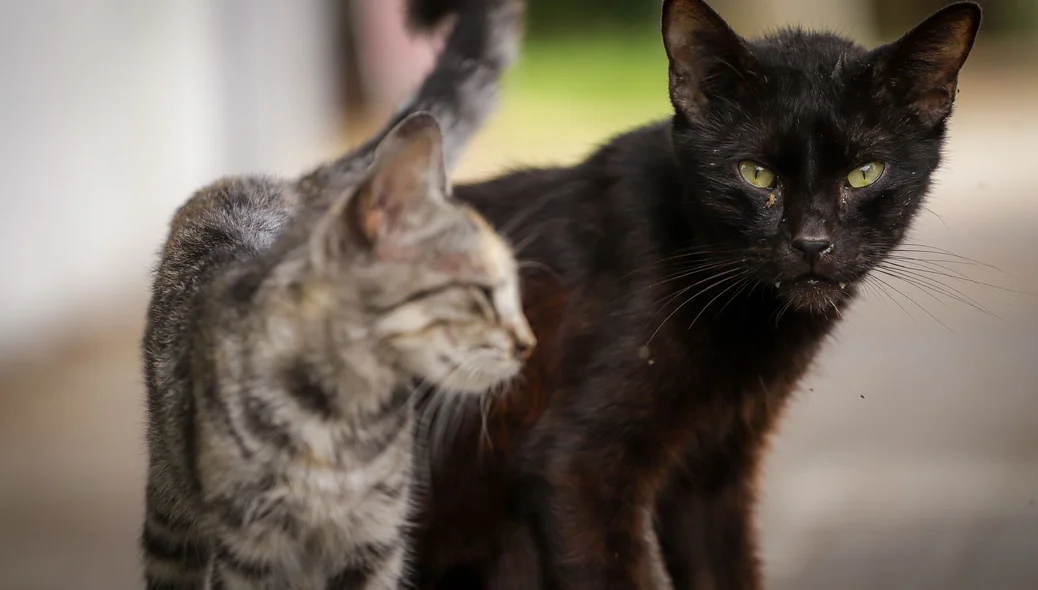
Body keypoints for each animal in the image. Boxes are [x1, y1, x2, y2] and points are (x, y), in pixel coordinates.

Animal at [139, 1, 531, 590]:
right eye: (482, 291)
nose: (528, 344)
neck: (341, 418)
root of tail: (282, 182)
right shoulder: (249, 550)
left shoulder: (374, 541)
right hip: (169, 516)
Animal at [406, 1, 979, 590]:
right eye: (755, 174)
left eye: (864, 173)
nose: (812, 242)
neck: (750, 328)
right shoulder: (577, 469)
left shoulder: (715, 473)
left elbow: (725, 570)